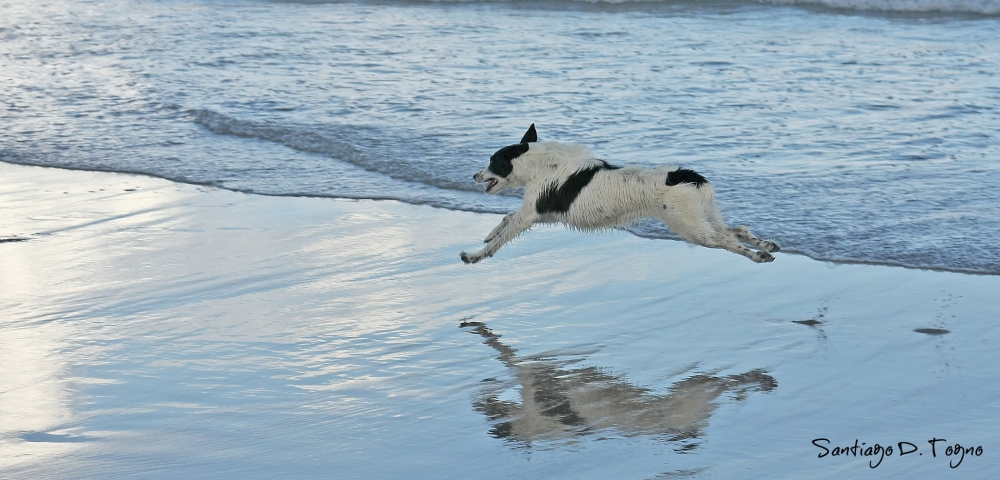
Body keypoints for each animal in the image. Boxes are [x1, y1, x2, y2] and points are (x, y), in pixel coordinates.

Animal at [460, 124, 780, 264]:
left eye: (492, 162)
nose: (473, 176)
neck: (538, 163)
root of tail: (686, 175)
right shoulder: (540, 213)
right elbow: (506, 218)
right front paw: (489, 233)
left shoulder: (531, 214)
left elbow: (503, 235)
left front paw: (475, 255)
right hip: (702, 216)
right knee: (737, 229)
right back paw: (766, 245)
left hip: (689, 228)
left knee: (726, 240)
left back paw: (758, 255)